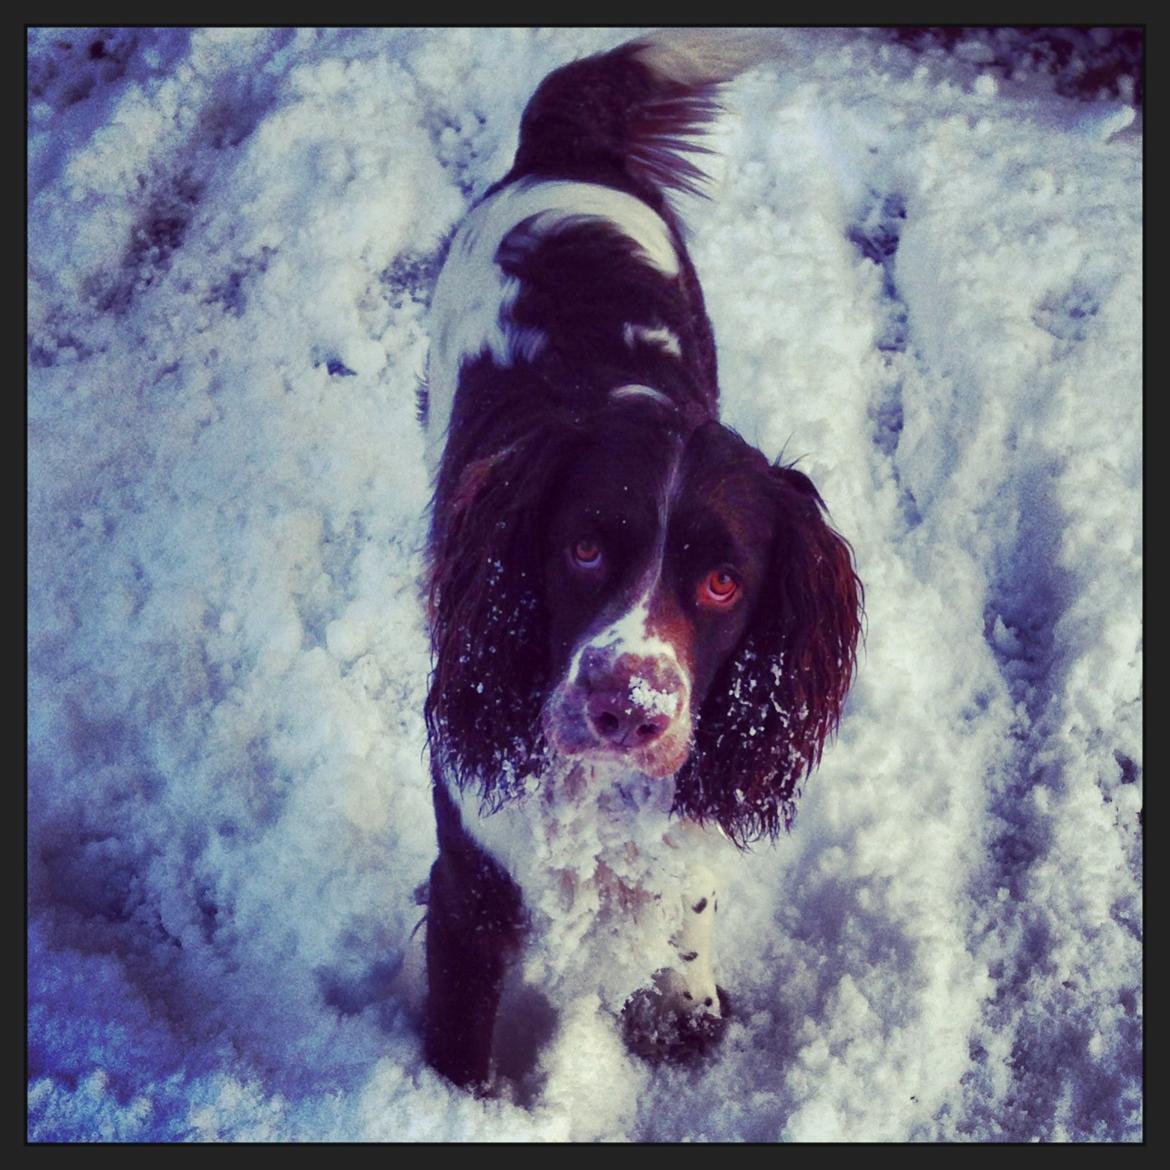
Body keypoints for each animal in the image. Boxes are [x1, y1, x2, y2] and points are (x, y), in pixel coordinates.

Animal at [418, 32, 861, 1090]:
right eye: (581, 548)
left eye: (723, 581)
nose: (629, 710)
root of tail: (566, 148)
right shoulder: (468, 880)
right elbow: (459, 1030)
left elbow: (686, 893)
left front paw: (680, 1001)